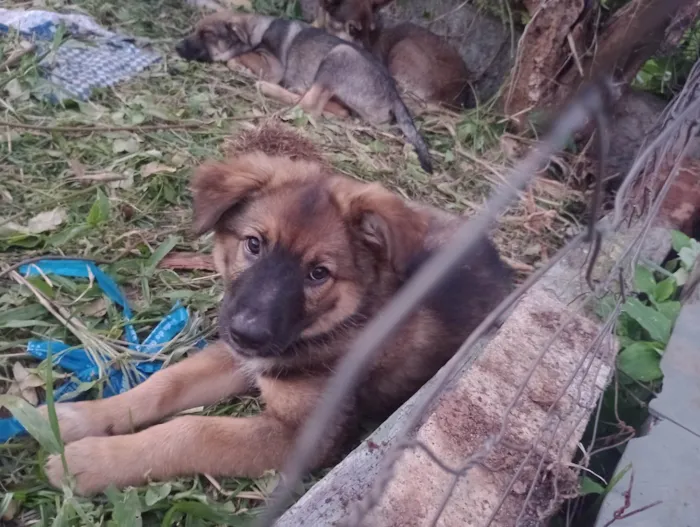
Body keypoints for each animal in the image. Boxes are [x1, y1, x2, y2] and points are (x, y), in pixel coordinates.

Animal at [39, 128, 508, 496]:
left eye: (318, 274)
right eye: (253, 244)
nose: (248, 334)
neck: (335, 324)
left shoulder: (302, 436)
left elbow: (194, 431)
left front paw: (88, 462)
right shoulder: (235, 357)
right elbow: (165, 385)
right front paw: (80, 418)